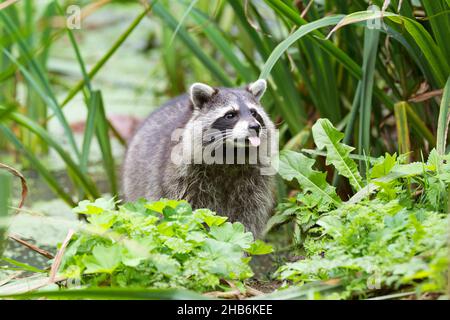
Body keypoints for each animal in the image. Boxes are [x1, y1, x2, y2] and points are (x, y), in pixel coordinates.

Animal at [123, 79, 278, 235]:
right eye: (230, 115)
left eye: (254, 113)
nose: (255, 127)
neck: (231, 152)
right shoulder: (182, 179)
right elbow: (189, 211)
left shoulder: (255, 181)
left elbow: (249, 213)